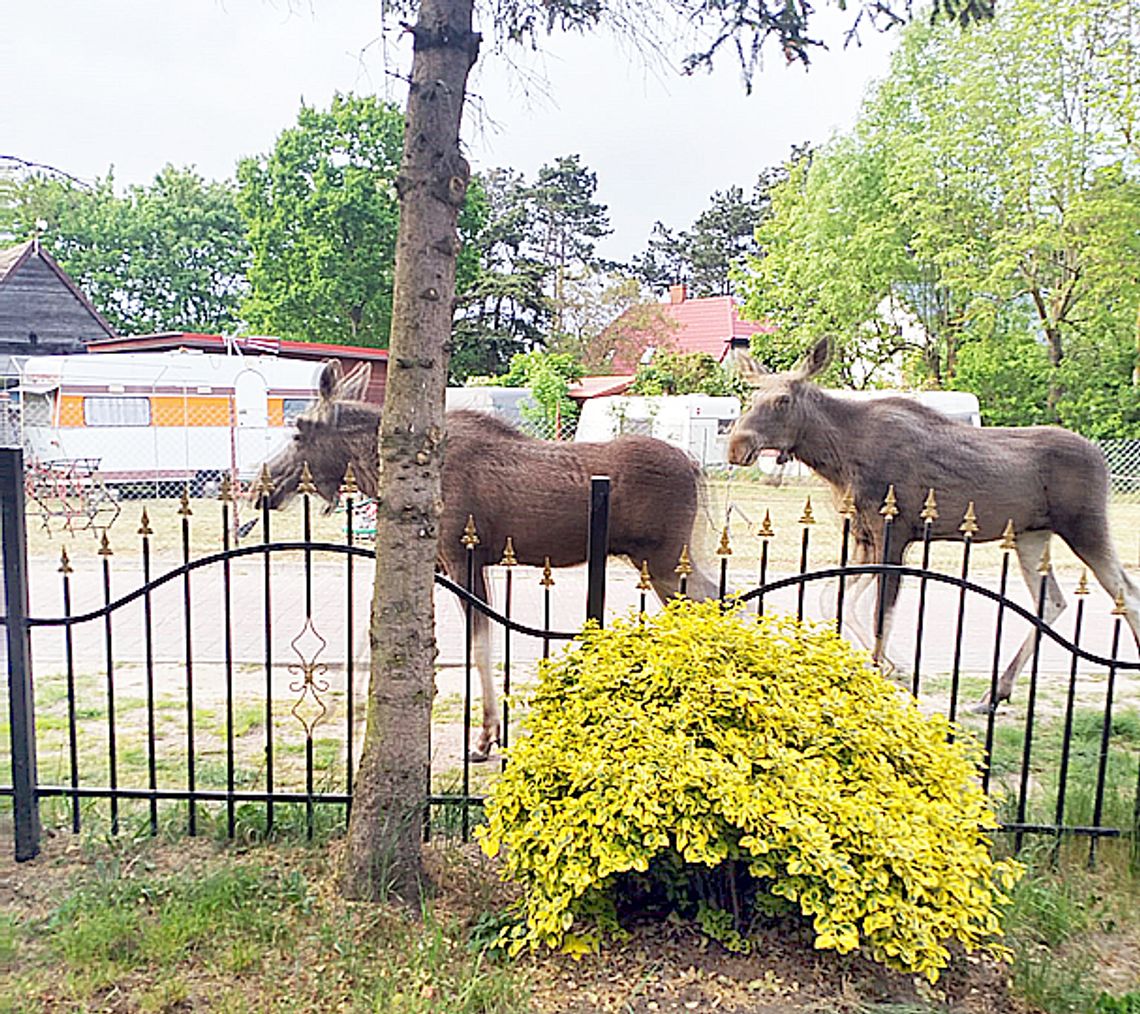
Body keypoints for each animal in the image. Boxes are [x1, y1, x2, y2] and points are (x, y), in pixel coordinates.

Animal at [262, 360, 715, 757]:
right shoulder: (442, 564)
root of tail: (695, 467)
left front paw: (485, 738)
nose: (261, 487)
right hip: (664, 562)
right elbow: (372, 635)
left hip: (666, 559)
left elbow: (478, 646)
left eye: (299, 432)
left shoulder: (464, 558)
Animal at [729, 335, 1140, 707]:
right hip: (1032, 535)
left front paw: (886, 670)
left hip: (1085, 526)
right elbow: (833, 598)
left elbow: (879, 614)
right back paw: (996, 692)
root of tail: (1102, 460)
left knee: (1127, 593)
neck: (836, 458)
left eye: (782, 400)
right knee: (1052, 602)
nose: (736, 446)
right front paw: (890, 665)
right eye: (751, 397)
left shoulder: (893, 534)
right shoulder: (865, 537)